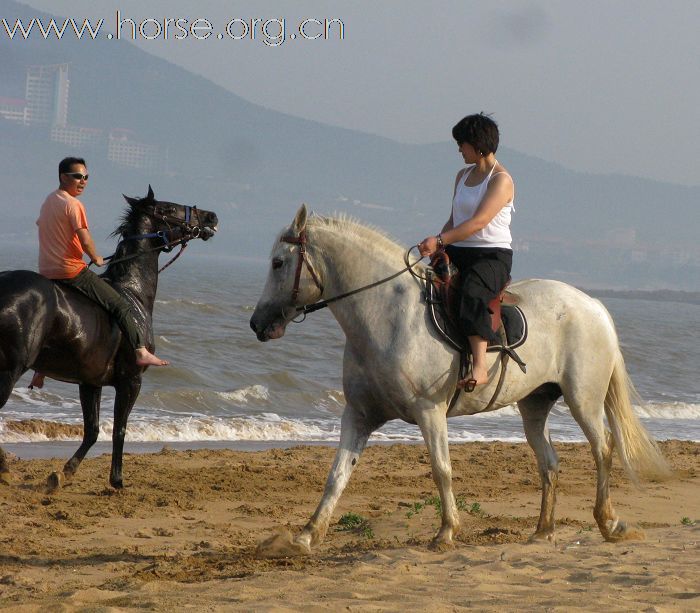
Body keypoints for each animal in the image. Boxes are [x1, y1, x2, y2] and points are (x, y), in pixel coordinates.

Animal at [0, 186, 217, 488]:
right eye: (170, 208)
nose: (211, 216)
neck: (133, 293)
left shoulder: (90, 382)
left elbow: (92, 430)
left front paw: (63, 473)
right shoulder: (131, 380)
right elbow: (119, 429)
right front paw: (117, 480)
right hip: (11, 368)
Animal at [250, 206, 668, 556]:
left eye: (278, 262)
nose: (257, 324)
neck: (386, 316)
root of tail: (592, 305)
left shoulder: (429, 410)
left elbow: (441, 469)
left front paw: (446, 532)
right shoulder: (358, 415)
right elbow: (337, 475)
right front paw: (305, 537)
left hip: (583, 398)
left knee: (603, 449)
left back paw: (610, 523)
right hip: (535, 403)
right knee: (549, 461)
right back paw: (543, 531)